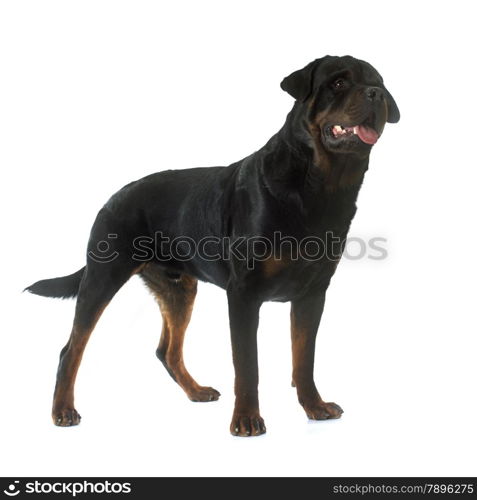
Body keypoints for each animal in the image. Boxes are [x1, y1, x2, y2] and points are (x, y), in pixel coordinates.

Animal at [26, 54, 398, 436]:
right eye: (338, 83)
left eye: (379, 84)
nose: (375, 95)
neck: (320, 186)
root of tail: (113, 197)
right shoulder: (244, 294)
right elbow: (248, 364)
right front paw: (247, 420)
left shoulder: (313, 293)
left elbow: (303, 358)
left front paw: (314, 406)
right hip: (103, 276)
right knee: (72, 349)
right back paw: (63, 410)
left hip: (178, 289)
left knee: (167, 350)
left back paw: (196, 390)